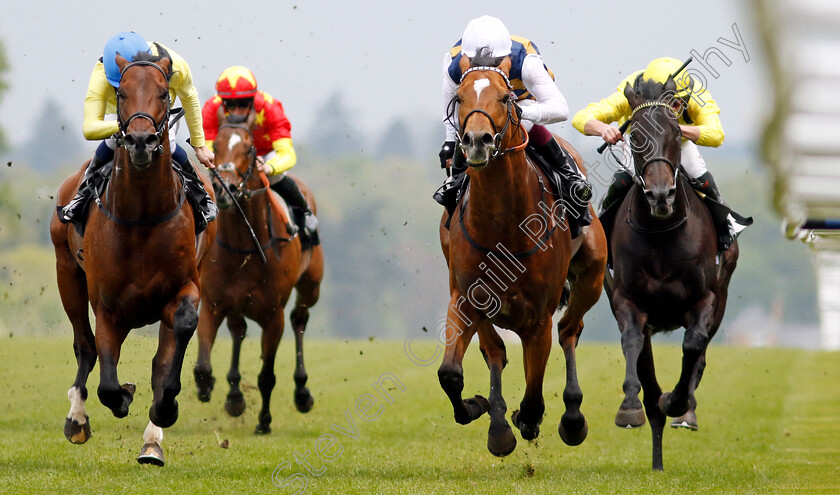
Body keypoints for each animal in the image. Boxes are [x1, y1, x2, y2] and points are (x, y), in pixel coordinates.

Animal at [48, 48, 217, 466]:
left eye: (163, 92)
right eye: (121, 93)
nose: (140, 141)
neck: (141, 217)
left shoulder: (184, 286)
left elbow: (174, 345)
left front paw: (163, 411)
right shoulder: (107, 304)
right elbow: (107, 382)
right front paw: (121, 396)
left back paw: (152, 439)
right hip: (66, 273)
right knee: (85, 346)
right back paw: (77, 418)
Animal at [192, 119, 324, 434]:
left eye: (248, 148)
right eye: (216, 146)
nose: (224, 188)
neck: (245, 245)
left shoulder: (273, 315)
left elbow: (267, 375)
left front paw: (264, 421)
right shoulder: (212, 303)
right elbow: (203, 366)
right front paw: (208, 387)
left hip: (311, 286)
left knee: (299, 319)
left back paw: (302, 393)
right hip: (236, 304)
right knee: (238, 330)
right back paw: (234, 396)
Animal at [436, 51, 608, 458]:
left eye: (504, 97)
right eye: (460, 98)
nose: (477, 141)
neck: (503, 224)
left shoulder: (538, 318)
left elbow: (533, 397)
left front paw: (527, 419)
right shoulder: (465, 297)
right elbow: (450, 373)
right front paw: (477, 407)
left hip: (591, 279)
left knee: (569, 331)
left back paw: (572, 418)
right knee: (495, 351)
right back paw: (498, 426)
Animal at [608, 78, 740, 472]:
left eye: (675, 133)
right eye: (635, 135)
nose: (660, 195)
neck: (662, 234)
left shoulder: (706, 298)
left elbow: (694, 346)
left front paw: (679, 403)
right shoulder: (626, 299)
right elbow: (632, 342)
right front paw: (630, 408)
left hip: (722, 296)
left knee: (701, 352)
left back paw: (683, 412)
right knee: (648, 373)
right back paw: (656, 456)